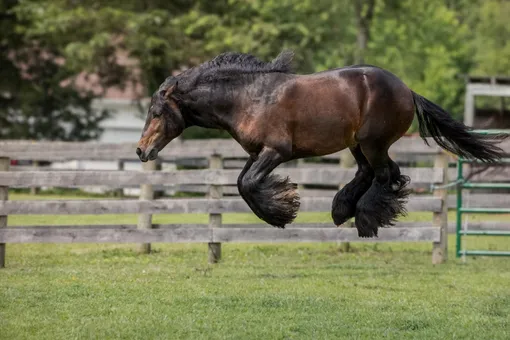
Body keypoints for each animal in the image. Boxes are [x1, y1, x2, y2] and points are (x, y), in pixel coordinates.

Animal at [135, 51, 510, 236]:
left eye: (156, 112)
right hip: (359, 144)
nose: (141, 150)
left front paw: (281, 212)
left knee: (385, 174)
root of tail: (408, 90)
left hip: (373, 142)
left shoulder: (276, 151)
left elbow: (249, 185)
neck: (247, 98)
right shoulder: (257, 153)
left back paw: (365, 220)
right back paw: (342, 209)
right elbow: (242, 183)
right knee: (374, 174)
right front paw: (282, 207)